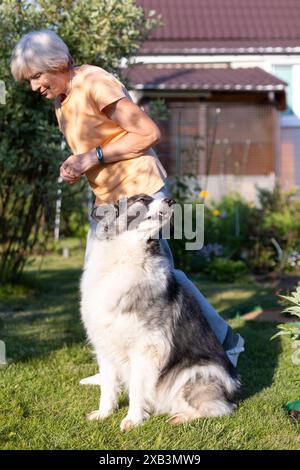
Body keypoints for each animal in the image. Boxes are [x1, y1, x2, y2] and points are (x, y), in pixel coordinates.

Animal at [80, 194, 241, 430]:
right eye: (141, 198)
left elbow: (137, 387)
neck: (125, 259)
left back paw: (181, 417)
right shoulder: (105, 345)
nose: (171, 199)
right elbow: (108, 386)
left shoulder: (145, 348)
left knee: (218, 409)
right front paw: (104, 413)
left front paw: (132, 419)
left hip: (194, 374)